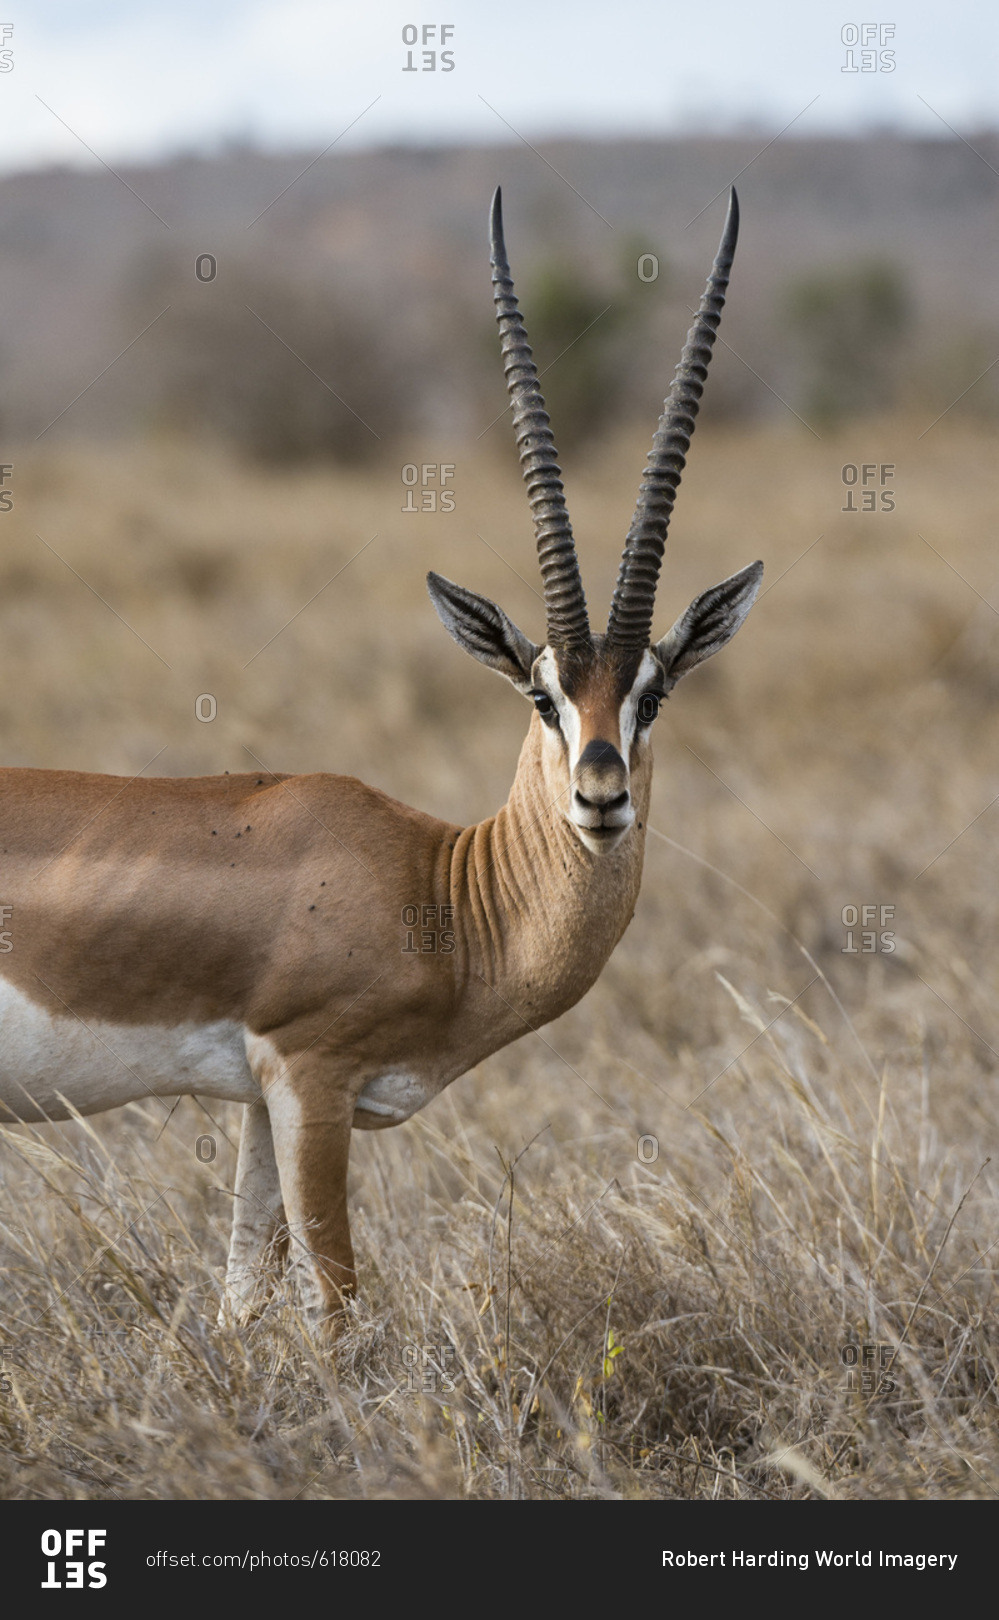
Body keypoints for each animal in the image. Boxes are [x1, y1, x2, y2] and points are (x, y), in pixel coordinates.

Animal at [0, 187, 762, 1331]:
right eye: (541, 693)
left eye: (653, 692)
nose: (600, 794)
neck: (441, 889)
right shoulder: (312, 1079)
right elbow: (339, 1312)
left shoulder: (259, 1101)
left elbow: (240, 1297)